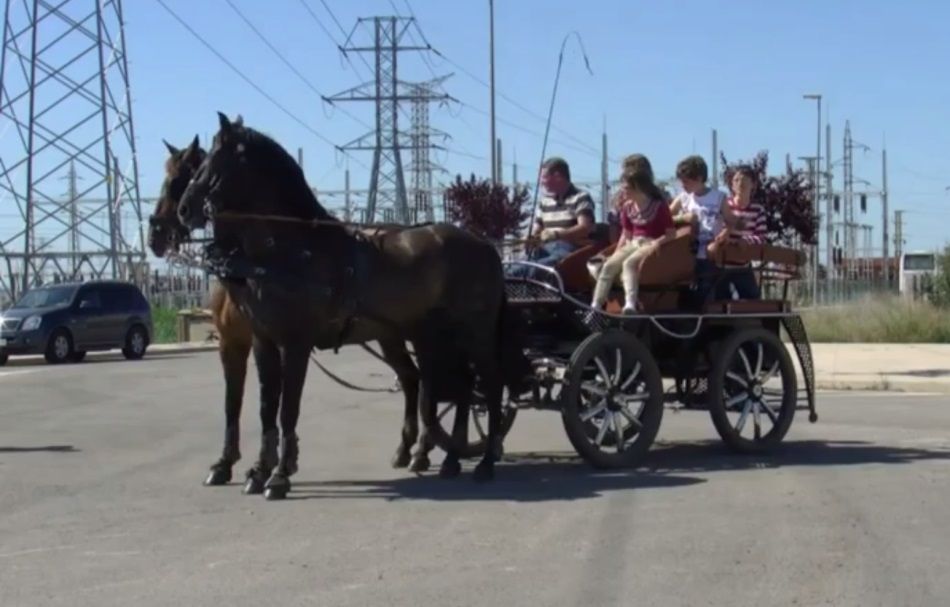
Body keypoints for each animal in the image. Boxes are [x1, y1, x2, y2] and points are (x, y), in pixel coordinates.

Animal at [173, 114, 528, 498]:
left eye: (215, 161)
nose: (183, 210)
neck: (287, 249)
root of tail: (486, 246)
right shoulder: (262, 342)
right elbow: (265, 408)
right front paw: (256, 471)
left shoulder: (295, 344)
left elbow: (287, 408)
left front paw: (279, 475)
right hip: (426, 337)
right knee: (450, 385)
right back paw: (447, 458)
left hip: (474, 334)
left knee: (489, 384)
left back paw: (484, 460)